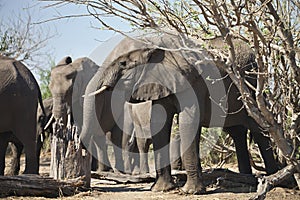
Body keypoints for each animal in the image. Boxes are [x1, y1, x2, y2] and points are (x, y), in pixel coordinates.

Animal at [80, 34, 278, 194]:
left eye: (123, 64)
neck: (156, 44)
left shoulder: (192, 80)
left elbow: (187, 122)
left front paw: (190, 192)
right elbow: (159, 122)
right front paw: (160, 189)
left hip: (250, 86)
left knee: (258, 128)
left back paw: (272, 178)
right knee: (238, 132)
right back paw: (246, 179)